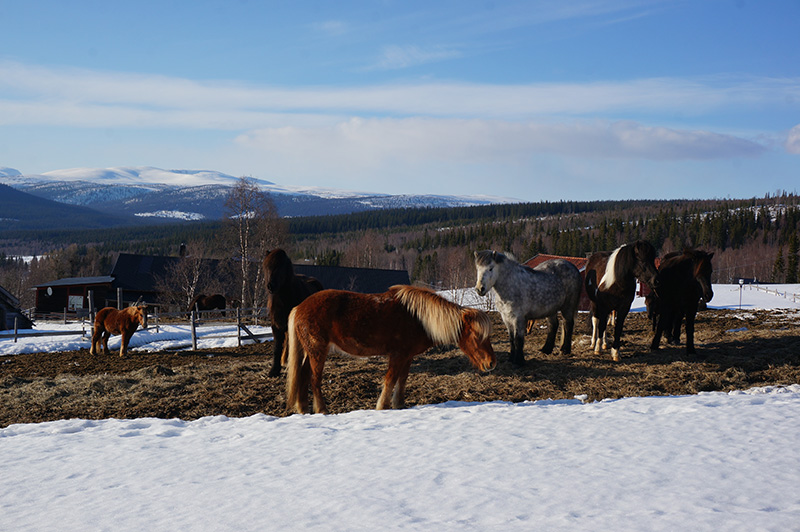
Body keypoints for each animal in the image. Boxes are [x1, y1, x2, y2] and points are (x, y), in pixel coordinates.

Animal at [264, 247, 324, 376]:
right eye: (266, 266)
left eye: (280, 267)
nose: (270, 286)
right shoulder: (276, 326)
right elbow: (277, 348)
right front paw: (274, 370)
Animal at [282, 284, 494, 414]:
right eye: (476, 335)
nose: (491, 363)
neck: (418, 318)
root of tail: (299, 308)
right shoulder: (397, 355)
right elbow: (390, 380)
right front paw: (382, 406)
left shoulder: (407, 356)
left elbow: (402, 380)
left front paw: (398, 404)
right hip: (318, 351)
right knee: (314, 380)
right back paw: (322, 410)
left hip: (309, 352)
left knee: (302, 376)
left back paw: (303, 408)